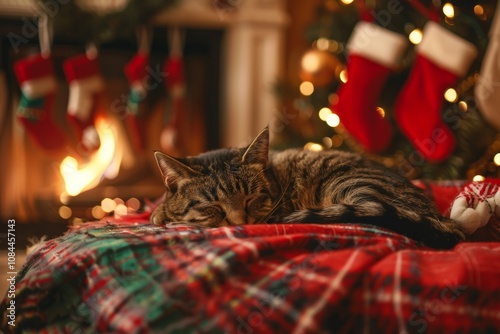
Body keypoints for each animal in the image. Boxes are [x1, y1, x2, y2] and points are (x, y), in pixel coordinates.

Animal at [151, 127, 464, 248]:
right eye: (212, 206)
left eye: (251, 199)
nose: (242, 222)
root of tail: (445, 219)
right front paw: (159, 213)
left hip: (347, 186)